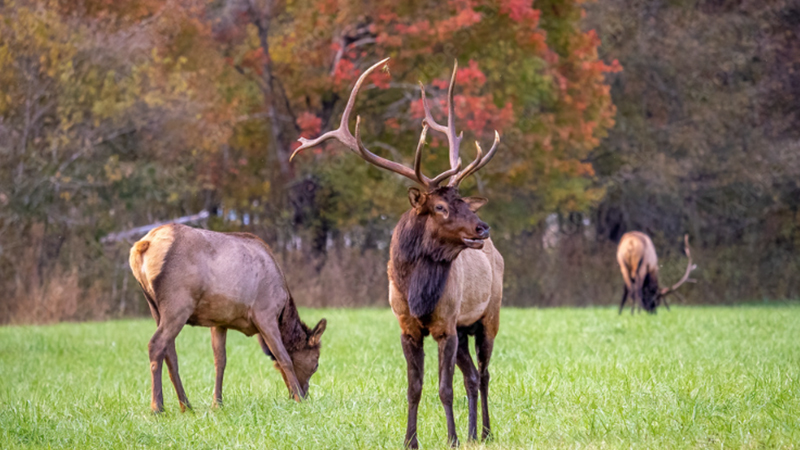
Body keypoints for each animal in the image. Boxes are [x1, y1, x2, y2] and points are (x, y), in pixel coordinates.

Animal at [129, 224, 327, 413]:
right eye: (316, 363)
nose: (305, 393)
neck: (283, 311)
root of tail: (143, 246)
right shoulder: (265, 313)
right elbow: (283, 357)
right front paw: (299, 400)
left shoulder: (219, 322)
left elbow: (220, 362)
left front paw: (217, 403)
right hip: (178, 304)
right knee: (156, 344)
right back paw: (157, 407)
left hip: (155, 308)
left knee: (170, 353)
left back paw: (186, 405)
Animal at [290, 58, 503, 448]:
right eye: (440, 207)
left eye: (463, 202)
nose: (483, 228)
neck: (418, 294)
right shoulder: (408, 326)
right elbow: (414, 387)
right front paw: (411, 440)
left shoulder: (446, 325)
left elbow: (444, 388)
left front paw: (450, 439)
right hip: (464, 329)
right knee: (472, 376)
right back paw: (473, 434)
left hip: (487, 317)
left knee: (485, 374)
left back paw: (484, 431)